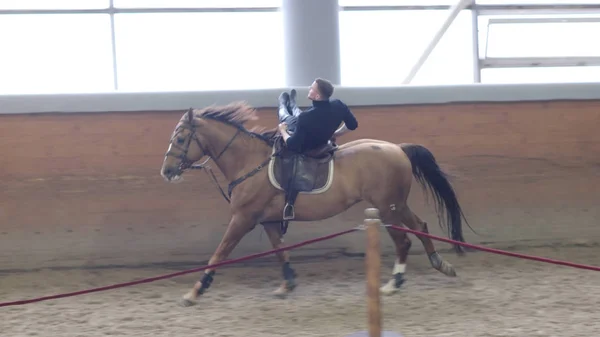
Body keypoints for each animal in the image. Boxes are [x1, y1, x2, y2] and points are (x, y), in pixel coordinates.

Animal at [162, 101, 472, 306]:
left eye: (181, 138)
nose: (167, 171)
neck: (249, 162)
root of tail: (398, 148)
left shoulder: (243, 218)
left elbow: (219, 253)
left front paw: (196, 291)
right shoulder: (268, 220)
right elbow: (280, 251)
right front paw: (288, 284)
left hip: (386, 208)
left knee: (404, 241)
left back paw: (393, 284)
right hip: (396, 205)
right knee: (421, 225)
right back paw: (440, 263)